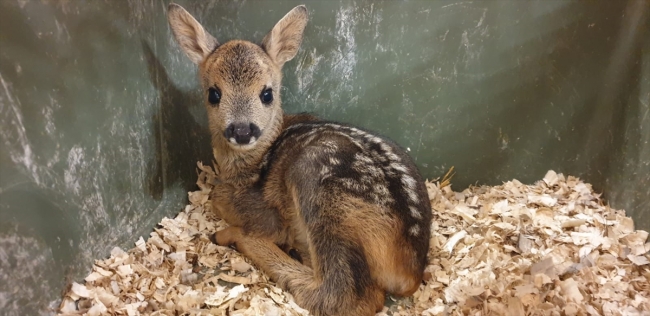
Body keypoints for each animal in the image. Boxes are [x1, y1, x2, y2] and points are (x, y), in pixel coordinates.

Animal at [167, 3, 430, 316]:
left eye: (267, 93)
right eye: (214, 93)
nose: (242, 130)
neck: (249, 170)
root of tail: (410, 273)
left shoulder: (265, 217)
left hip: (318, 185)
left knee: (347, 296)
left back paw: (235, 237)